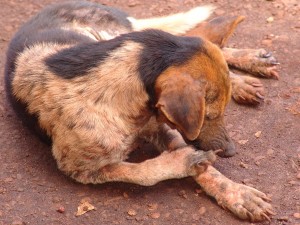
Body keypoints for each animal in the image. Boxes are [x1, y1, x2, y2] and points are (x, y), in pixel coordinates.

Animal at [4, 0, 276, 222]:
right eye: (209, 117)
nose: (231, 152)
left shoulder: (162, 125)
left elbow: (210, 171)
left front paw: (237, 193)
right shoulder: (79, 169)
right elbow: (142, 172)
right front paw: (186, 161)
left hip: (115, 34)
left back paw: (251, 66)